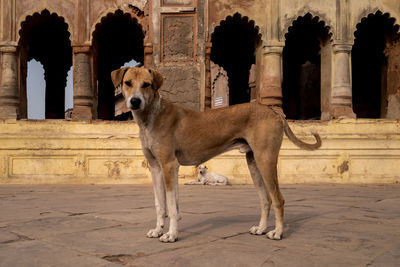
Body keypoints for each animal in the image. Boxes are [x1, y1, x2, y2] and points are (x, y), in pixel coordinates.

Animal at [110, 66, 322, 243]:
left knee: (278, 199)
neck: (151, 116)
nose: (135, 101)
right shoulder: (156, 168)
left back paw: (277, 232)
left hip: (266, 160)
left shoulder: (169, 165)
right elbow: (161, 204)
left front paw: (171, 235)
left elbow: (170, 205)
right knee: (265, 199)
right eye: (128, 82)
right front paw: (158, 230)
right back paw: (261, 229)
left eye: (146, 84)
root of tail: (273, 112)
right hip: (254, 163)